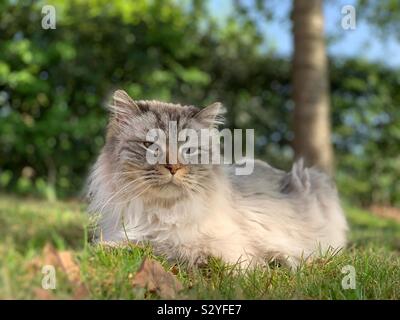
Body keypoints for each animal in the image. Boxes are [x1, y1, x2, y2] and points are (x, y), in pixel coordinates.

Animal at [86, 89, 346, 268]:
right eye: (151, 146)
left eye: (189, 149)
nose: (173, 167)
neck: (159, 212)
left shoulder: (214, 250)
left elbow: (157, 247)